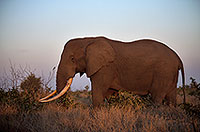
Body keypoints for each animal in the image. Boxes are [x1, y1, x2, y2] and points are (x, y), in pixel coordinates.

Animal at [39, 36, 186, 106]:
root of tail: (178, 57)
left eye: (72, 59)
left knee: (157, 96)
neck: (88, 40)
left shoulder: (105, 68)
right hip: (170, 73)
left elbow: (98, 93)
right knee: (171, 97)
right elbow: (110, 94)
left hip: (164, 71)